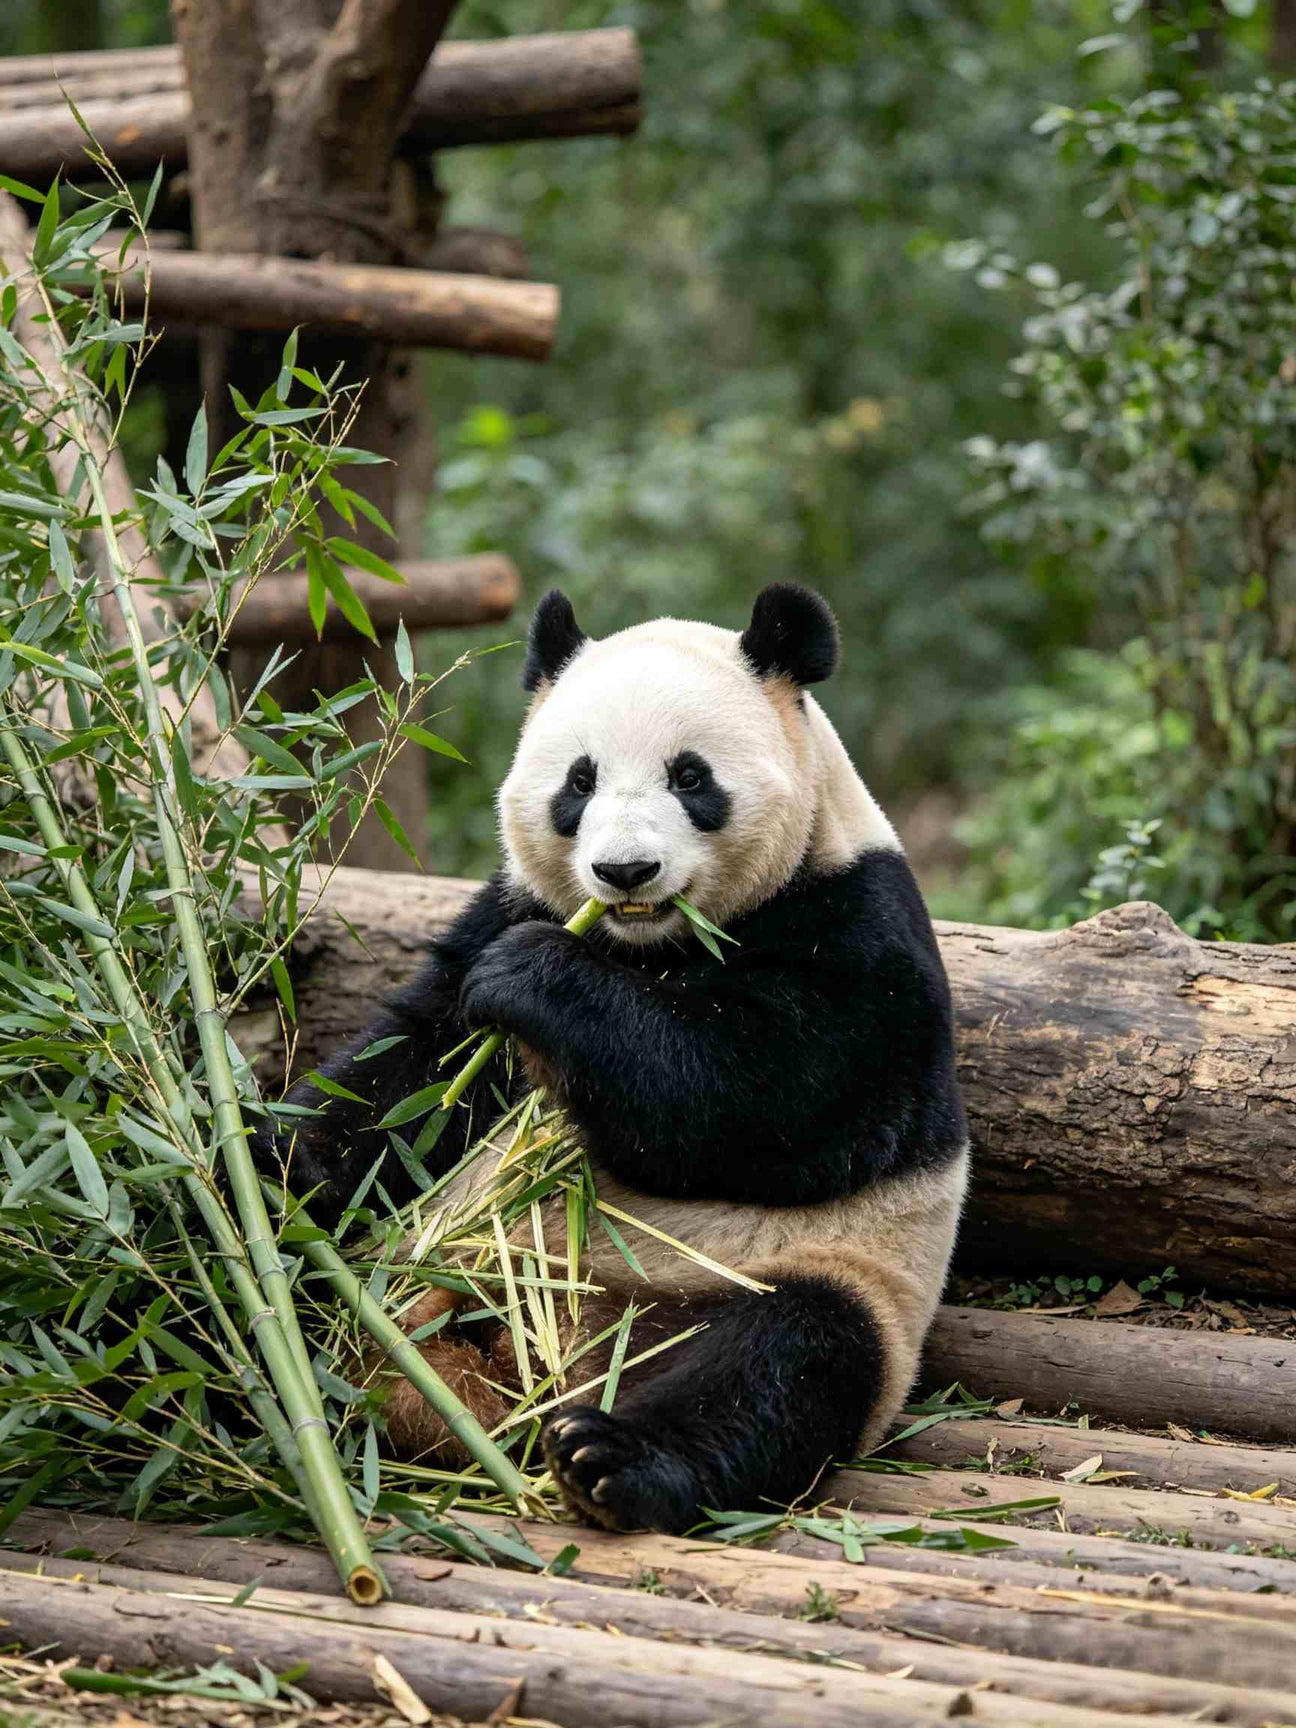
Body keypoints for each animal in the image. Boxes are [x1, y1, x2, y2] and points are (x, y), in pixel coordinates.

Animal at [268, 582, 968, 1534]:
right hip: (415, 1267)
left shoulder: (859, 929)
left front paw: (538, 978)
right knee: (301, 1286)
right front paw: (279, 1160)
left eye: (690, 777)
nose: (625, 871)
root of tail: (534, 1367)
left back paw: (611, 1458)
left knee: (780, 1363)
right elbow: (417, 1075)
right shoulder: (507, 903)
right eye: (579, 780)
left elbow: (768, 1102)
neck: (648, 947)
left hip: (810, 1279)